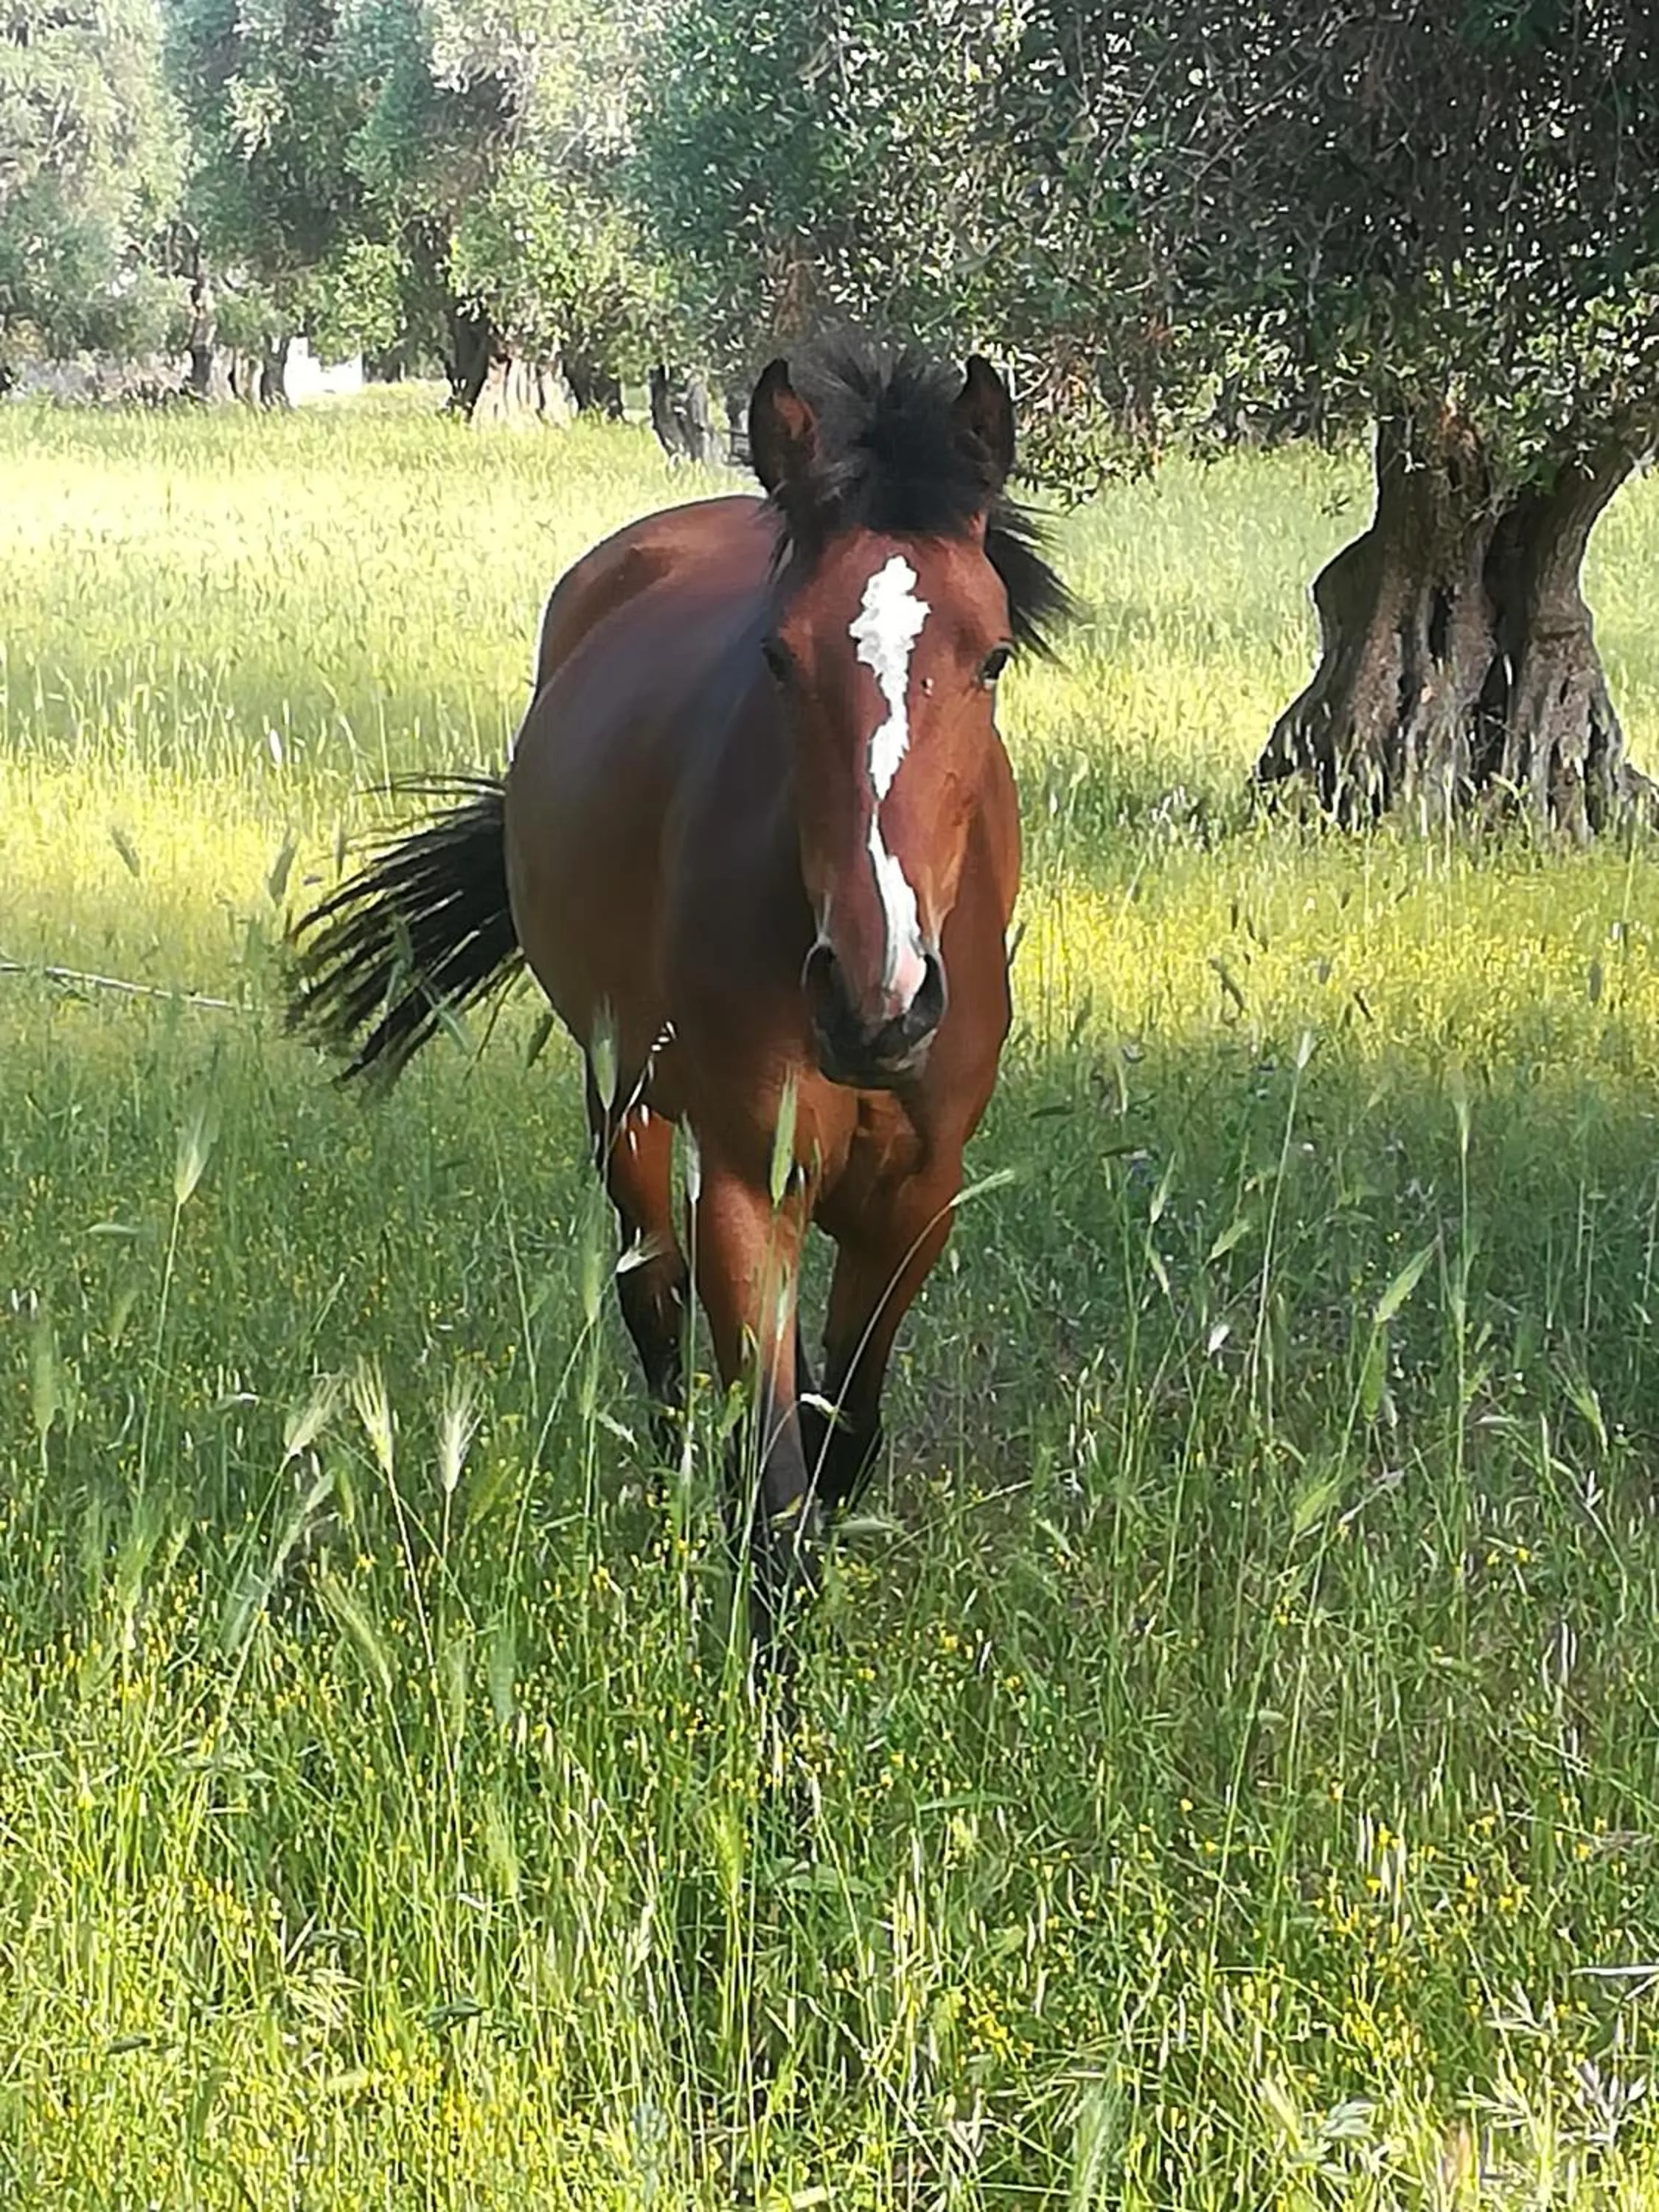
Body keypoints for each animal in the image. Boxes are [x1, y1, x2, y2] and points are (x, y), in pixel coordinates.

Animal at [287, 342, 1072, 1649]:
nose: (877, 1002)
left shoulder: (919, 1200)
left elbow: (843, 1429)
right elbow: (775, 1490)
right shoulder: (751, 1187)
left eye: (992, 656)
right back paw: (667, 1512)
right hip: (627, 1106)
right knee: (651, 1307)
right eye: (777, 655)